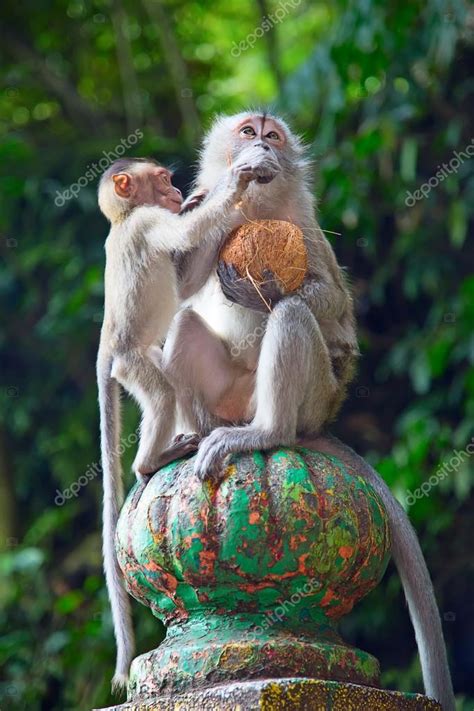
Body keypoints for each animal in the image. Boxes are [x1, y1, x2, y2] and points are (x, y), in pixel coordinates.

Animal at [96, 154, 260, 688]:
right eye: (162, 180)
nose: (174, 192)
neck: (123, 219)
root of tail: (108, 347)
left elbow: (185, 282)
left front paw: (206, 199)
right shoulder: (149, 223)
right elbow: (184, 234)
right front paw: (232, 186)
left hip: (137, 360)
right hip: (132, 363)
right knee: (163, 393)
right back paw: (149, 463)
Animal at [162, 114, 456, 708]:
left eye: (272, 135)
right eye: (247, 131)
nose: (259, 145)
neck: (259, 210)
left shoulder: (307, 228)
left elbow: (330, 303)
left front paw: (267, 286)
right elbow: (184, 284)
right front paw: (224, 189)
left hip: (313, 395)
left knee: (295, 315)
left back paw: (263, 433)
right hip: (228, 393)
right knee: (184, 324)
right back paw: (198, 436)